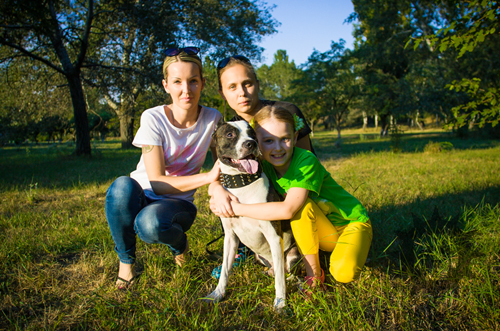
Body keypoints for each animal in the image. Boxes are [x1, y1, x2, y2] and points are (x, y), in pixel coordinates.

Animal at [204, 121, 300, 312]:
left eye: (253, 134)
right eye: (230, 134)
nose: (251, 143)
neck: (241, 184)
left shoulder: (273, 235)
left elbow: (280, 280)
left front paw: (280, 302)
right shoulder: (230, 237)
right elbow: (225, 271)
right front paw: (217, 294)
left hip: (293, 255)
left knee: (286, 272)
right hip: (259, 257)